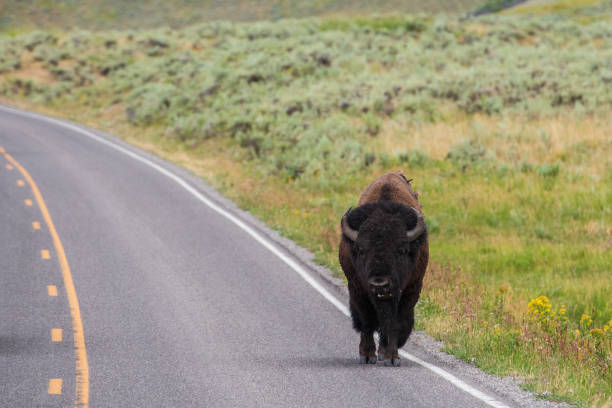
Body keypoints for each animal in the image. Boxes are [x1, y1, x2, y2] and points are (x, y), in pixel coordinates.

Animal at [340, 171, 430, 368]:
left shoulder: (410, 290)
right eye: (361, 249)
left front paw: (392, 357)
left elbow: (395, 323)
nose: (380, 284)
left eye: (401, 249)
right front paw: (367, 356)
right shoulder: (358, 289)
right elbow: (367, 320)